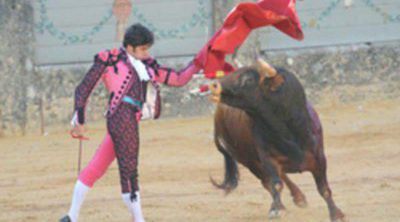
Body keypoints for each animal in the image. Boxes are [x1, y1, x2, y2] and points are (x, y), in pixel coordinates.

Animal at [211, 59, 346, 221]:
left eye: (248, 79)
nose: (214, 85)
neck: (288, 131)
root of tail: (217, 114)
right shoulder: (268, 159)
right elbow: (276, 185)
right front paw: (275, 210)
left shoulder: (319, 159)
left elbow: (324, 189)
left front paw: (337, 214)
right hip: (249, 162)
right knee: (268, 181)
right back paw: (289, 201)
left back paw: (298, 198)